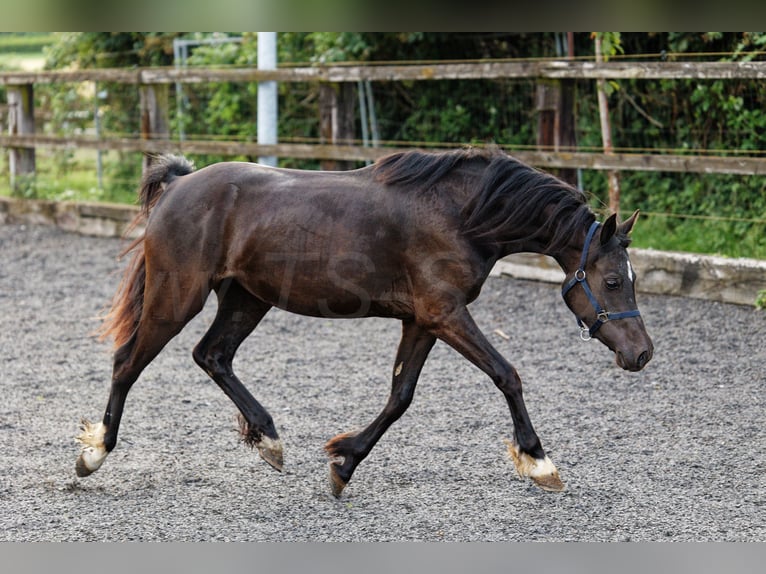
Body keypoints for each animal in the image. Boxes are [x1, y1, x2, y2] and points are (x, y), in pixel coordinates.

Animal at [76, 148, 656, 496]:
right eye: (612, 282)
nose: (642, 353)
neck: (460, 214)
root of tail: (178, 184)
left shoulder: (423, 321)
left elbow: (400, 398)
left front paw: (344, 462)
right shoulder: (446, 313)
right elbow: (507, 375)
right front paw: (539, 462)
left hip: (246, 298)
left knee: (212, 355)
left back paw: (269, 440)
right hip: (178, 296)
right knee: (127, 362)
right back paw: (94, 453)